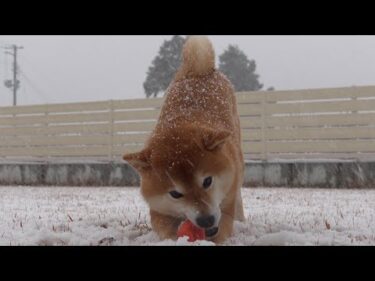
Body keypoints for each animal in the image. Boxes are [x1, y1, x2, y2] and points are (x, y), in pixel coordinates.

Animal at [124, 35, 247, 243]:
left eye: (207, 181)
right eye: (175, 194)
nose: (206, 220)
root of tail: (197, 71)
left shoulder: (226, 201)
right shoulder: (158, 209)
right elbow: (165, 228)